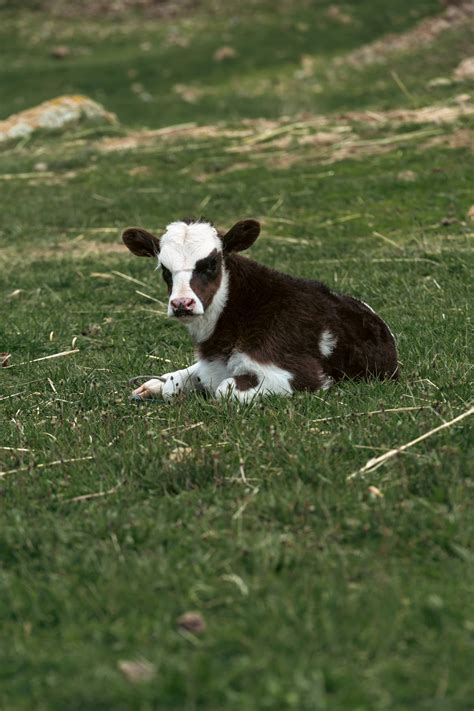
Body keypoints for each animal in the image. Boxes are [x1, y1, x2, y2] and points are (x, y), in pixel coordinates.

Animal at [122, 219, 398, 402]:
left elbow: (224, 391)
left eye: (211, 264)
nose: (181, 304)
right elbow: (180, 382)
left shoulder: (295, 372)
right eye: (164, 269)